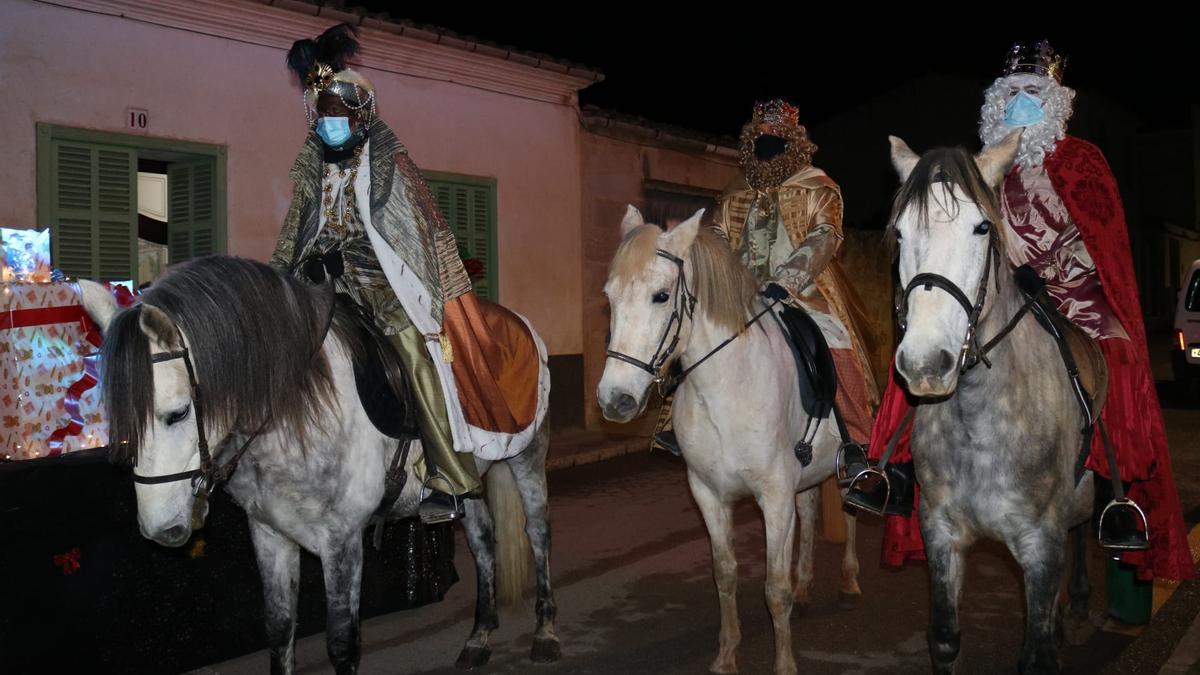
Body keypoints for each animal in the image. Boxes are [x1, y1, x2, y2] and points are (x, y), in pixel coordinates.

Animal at [79, 254, 556, 667]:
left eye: (177, 413)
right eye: (121, 425)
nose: (160, 530)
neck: (293, 416)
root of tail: (515, 320)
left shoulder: (341, 541)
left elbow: (342, 643)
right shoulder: (269, 535)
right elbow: (279, 630)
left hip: (528, 455)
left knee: (537, 532)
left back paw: (545, 632)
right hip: (470, 479)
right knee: (482, 540)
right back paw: (479, 637)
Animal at [595, 206, 859, 672]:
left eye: (661, 296)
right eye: (610, 297)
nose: (615, 399)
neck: (725, 387)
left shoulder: (774, 496)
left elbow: (774, 587)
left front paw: (784, 663)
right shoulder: (709, 493)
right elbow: (725, 574)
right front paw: (726, 655)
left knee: (849, 513)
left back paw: (848, 582)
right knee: (810, 514)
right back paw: (808, 587)